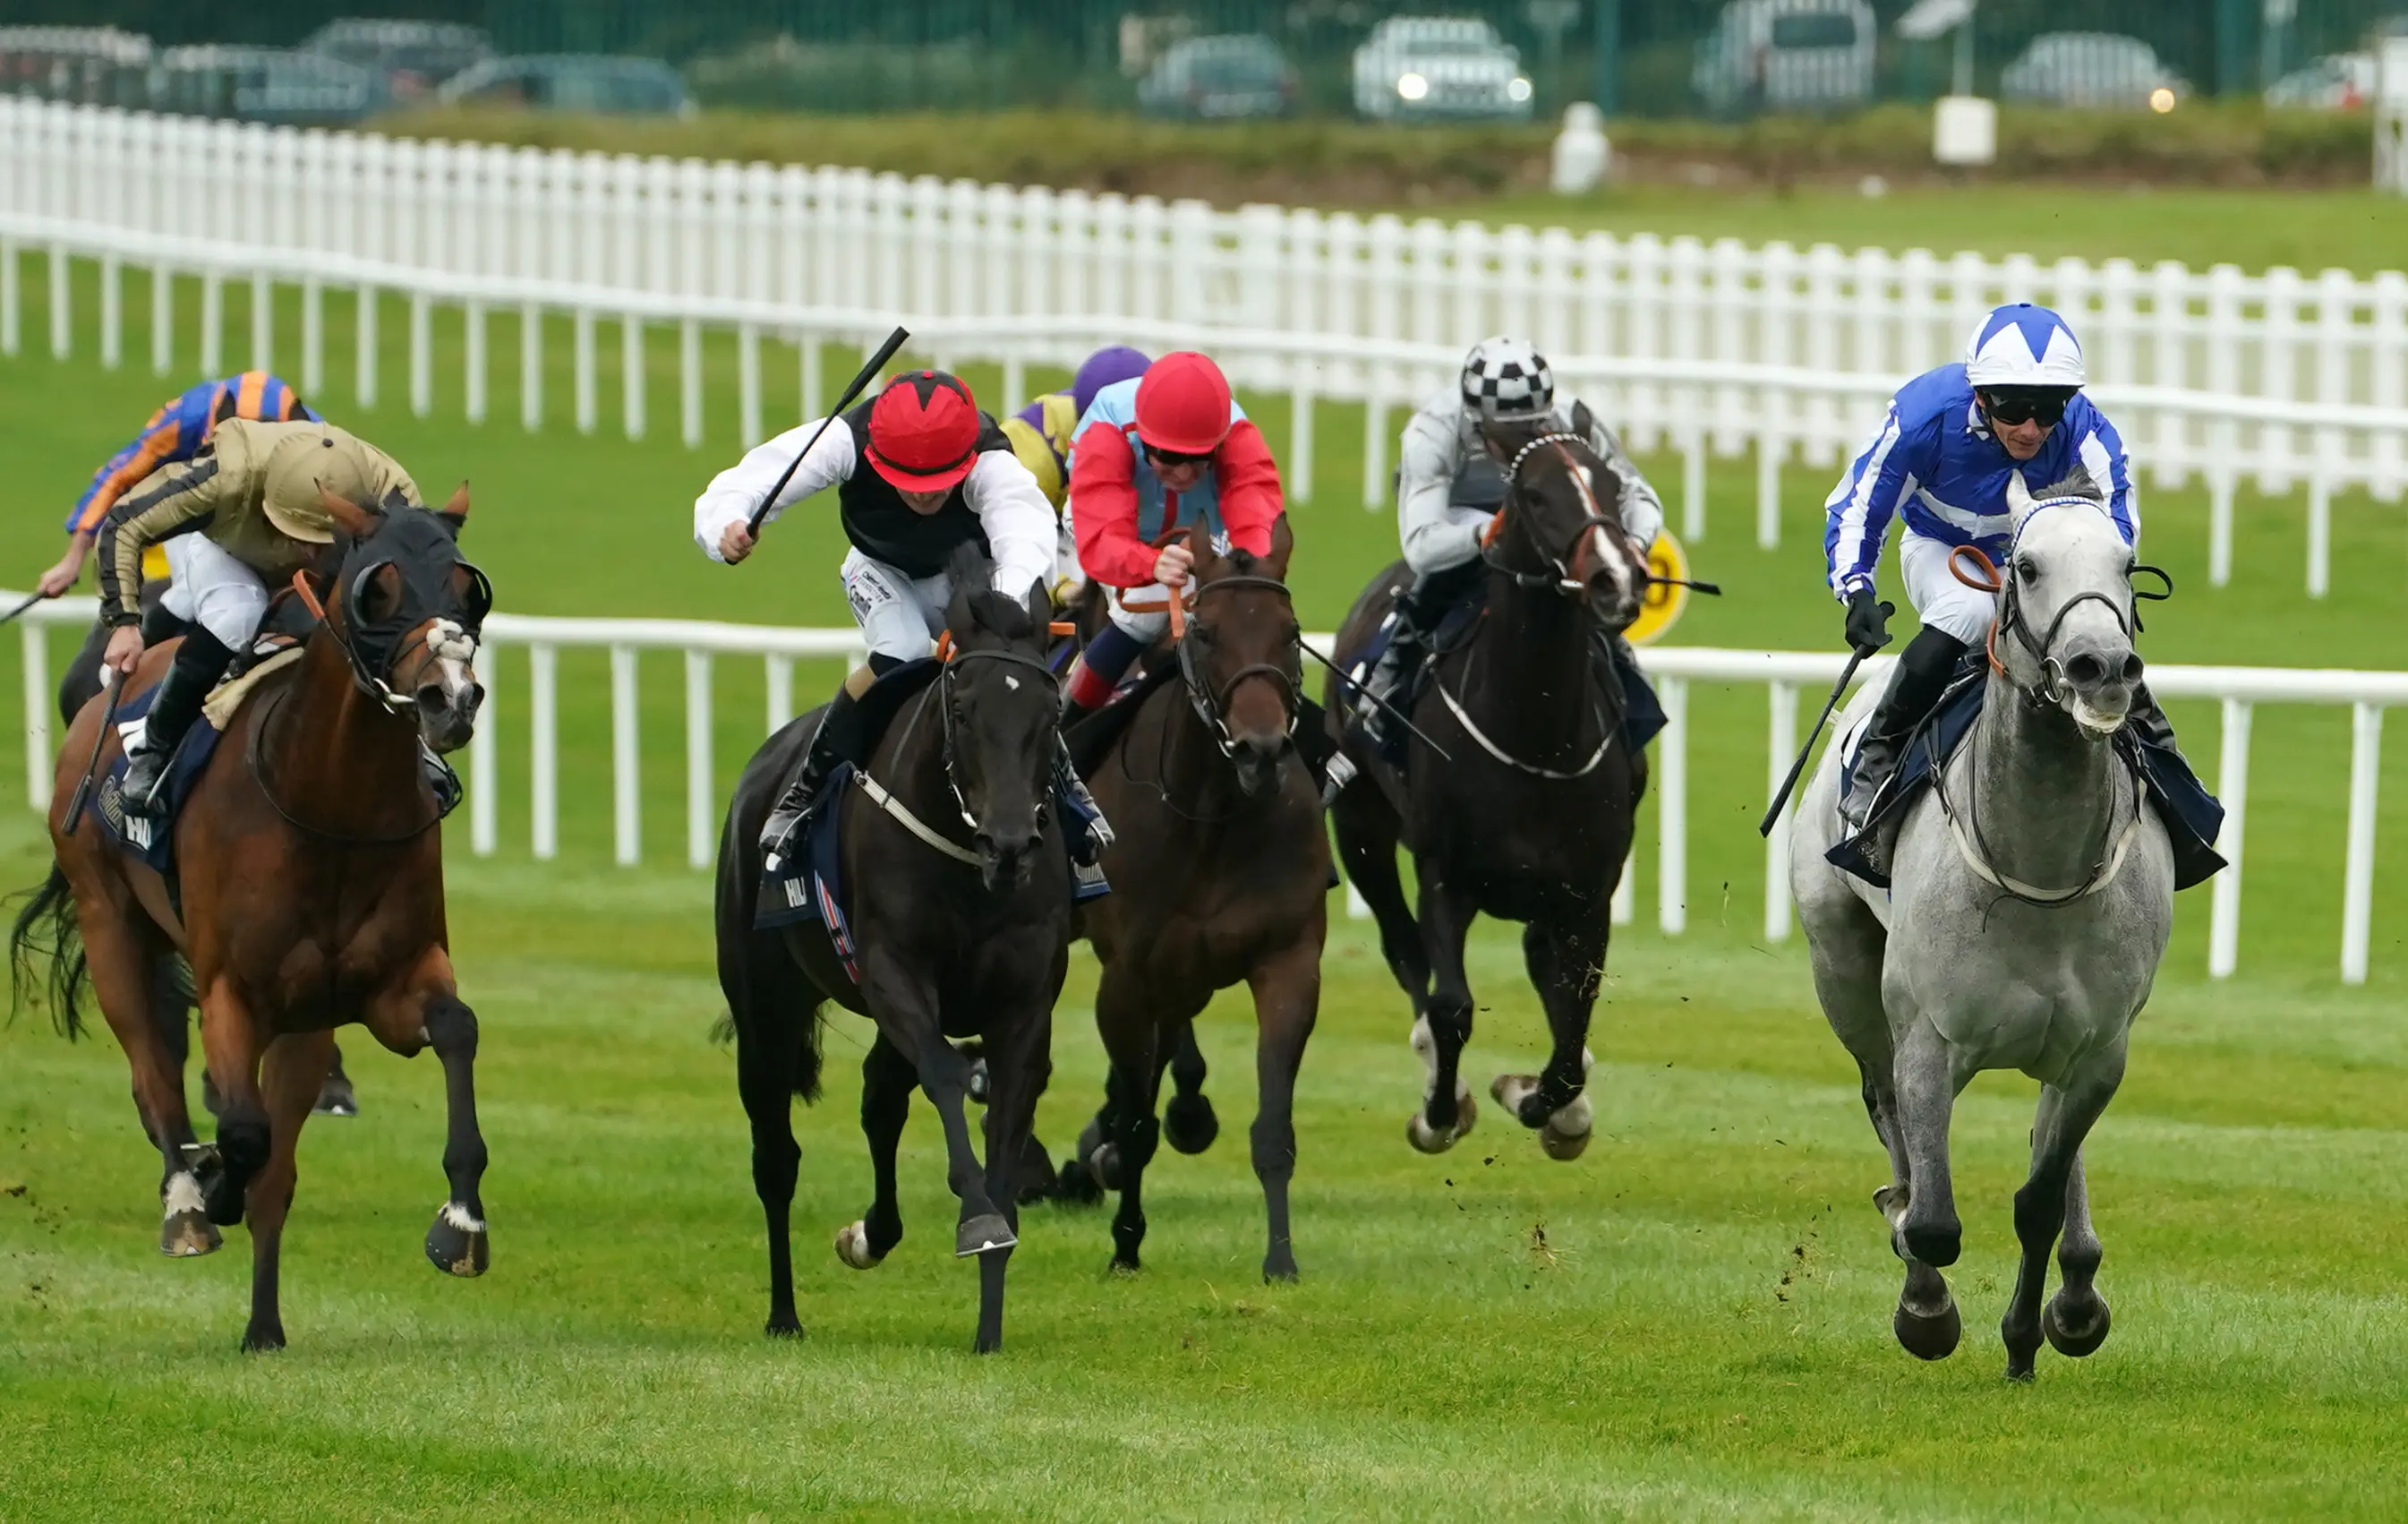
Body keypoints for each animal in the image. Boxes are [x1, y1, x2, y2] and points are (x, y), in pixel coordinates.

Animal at [9, 488, 493, 1352]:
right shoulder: (233, 989)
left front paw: (462, 1223)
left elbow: (456, 1030)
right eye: (379, 589)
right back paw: (186, 1201)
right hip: (111, 929)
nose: (451, 697)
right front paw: (209, 1183)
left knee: (278, 1166)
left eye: (467, 587)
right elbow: (239, 1131)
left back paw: (263, 1325)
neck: (330, 802)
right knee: (155, 1076)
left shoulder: (387, 983)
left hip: (306, 1020)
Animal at [714, 548, 1072, 1353]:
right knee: (775, 1155)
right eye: (964, 710)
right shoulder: (893, 972)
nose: (1011, 843)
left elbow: (1003, 1125)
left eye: (1052, 715)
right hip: (763, 1005)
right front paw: (977, 1221)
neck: (967, 862)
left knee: (880, 1097)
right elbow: (943, 1075)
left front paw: (989, 1326)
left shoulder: (1024, 1003)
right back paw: (784, 1313)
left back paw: (871, 1235)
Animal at [1064, 517, 1326, 1280]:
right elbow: (1135, 1121)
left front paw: (1281, 1260)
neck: (1210, 816)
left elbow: (1272, 1126)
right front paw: (1125, 1241)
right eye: (1205, 632)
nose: (1261, 749)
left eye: (1290, 630)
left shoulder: (1289, 960)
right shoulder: (1124, 981)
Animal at [1326, 419, 1650, 1162]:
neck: (1536, 736)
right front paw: (1440, 1114)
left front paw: (1545, 1105)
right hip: (1359, 829)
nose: (1615, 578)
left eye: (1609, 482)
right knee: (1403, 947)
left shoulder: (1588, 892)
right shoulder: (1445, 876)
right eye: (1534, 494)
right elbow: (1451, 1006)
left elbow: (1573, 1031)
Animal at [1788, 470, 2175, 1381]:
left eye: (2126, 562)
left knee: (2050, 1145)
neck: (2042, 869)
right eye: (2026, 566)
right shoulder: (1929, 1039)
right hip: (1842, 969)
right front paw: (1925, 1307)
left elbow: (2038, 1197)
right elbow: (1931, 1218)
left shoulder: (2098, 1050)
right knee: (1883, 1102)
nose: (2101, 668)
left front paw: (2038, 1332)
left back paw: (2078, 1284)